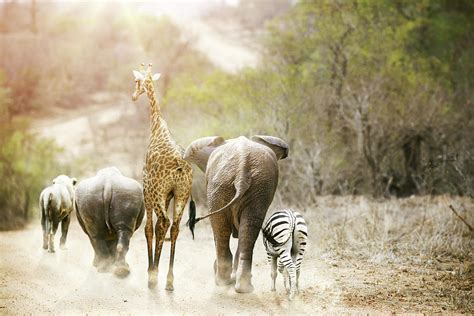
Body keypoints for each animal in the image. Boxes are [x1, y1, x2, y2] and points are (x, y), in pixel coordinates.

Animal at [131, 63, 193, 290]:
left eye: (136, 81)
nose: (133, 96)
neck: (156, 125)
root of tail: (180, 167)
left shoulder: (147, 188)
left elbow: (149, 228)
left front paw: (151, 271)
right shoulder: (168, 195)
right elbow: (158, 228)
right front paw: (155, 269)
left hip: (158, 192)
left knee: (164, 223)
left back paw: (155, 277)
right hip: (182, 194)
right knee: (174, 227)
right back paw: (169, 280)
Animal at [185, 135, 288, 292]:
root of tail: (242, 166)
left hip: (226, 186)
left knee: (224, 229)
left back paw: (223, 281)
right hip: (247, 187)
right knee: (245, 229)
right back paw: (241, 287)